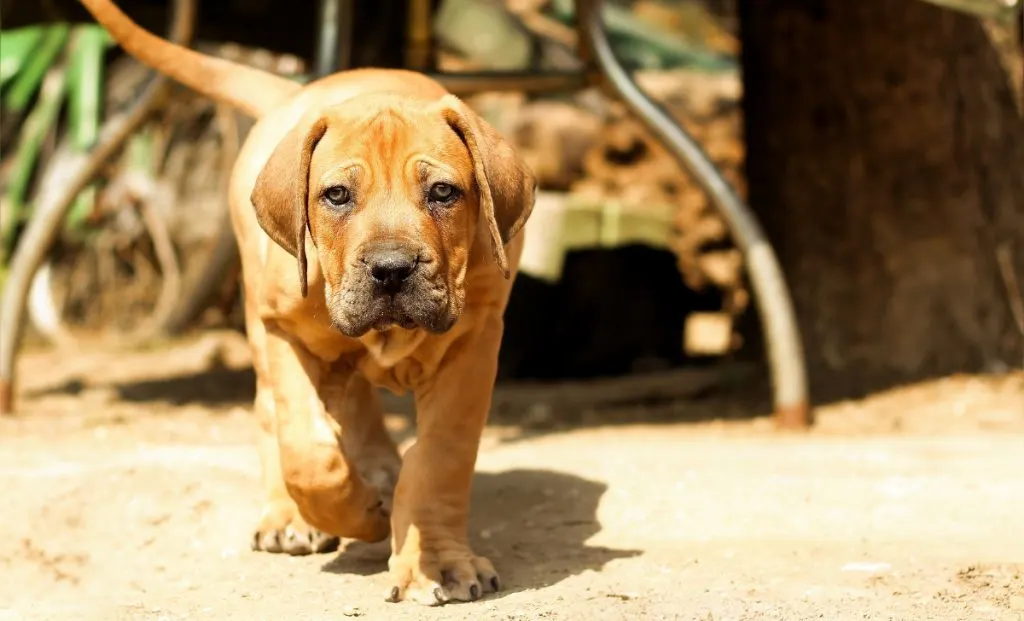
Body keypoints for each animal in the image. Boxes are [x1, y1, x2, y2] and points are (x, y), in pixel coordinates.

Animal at [79, 0, 536, 606]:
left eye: (443, 192)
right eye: (336, 196)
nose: (392, 269)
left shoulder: (473, 343)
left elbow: (440, 458)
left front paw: (437, 562)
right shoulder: (283, 332)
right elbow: (308, 451)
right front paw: (357, 512)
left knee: (360, 408)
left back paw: (380, 473)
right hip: (259, 321)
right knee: (273, 414)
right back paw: (294, 515)